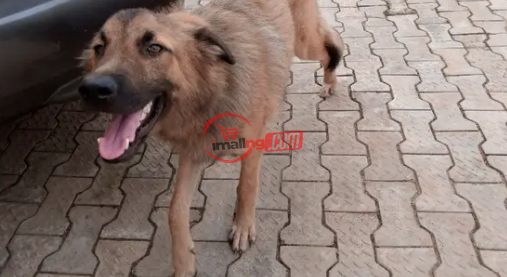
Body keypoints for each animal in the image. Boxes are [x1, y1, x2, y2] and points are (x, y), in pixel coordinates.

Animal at [76, 0, 346, 274]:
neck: (213, 87)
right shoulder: (192, 152)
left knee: (330, 42)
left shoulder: (252, 145)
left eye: (154, 48)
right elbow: (175, 211)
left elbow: (247, 186)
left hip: (304, 42)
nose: (91, 89)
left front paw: (243, 226)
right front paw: (184, 262)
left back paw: (329, 80)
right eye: (99, 48)